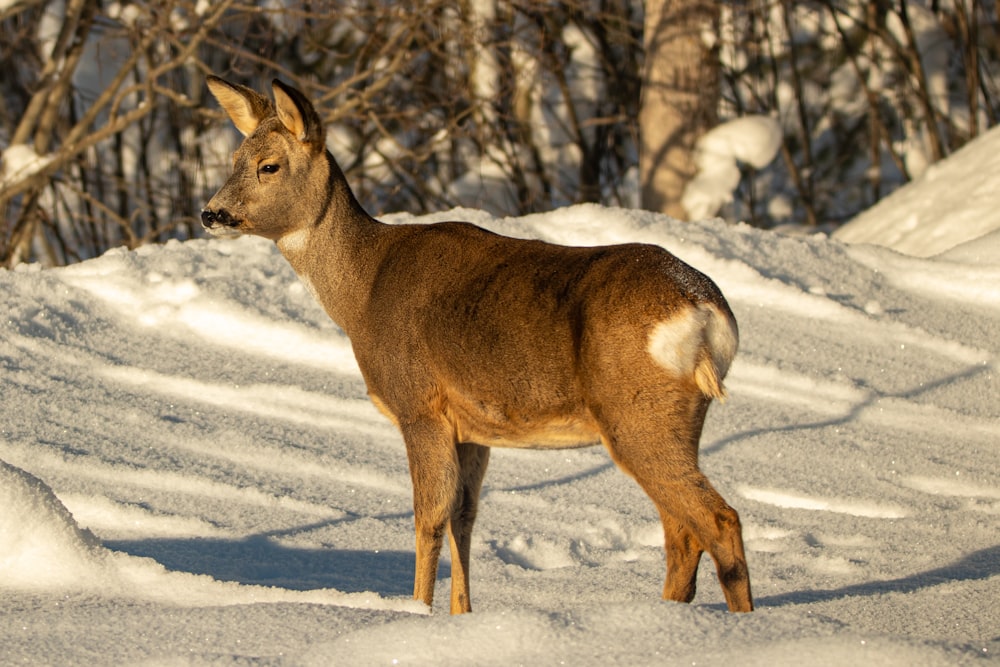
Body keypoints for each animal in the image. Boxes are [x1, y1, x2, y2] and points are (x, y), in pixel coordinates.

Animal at [201, 77, 752, 616]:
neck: (362, 292)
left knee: (717, 518)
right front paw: (460, 616)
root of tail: (707, 312)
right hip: (678, 419)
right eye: (233, 159)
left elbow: (428, 516)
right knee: (682, 530)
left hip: (636, 413)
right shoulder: (472, 427)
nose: (211, 213)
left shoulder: (419, 405)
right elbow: (464, 517)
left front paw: (416, 612)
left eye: (268, 165)